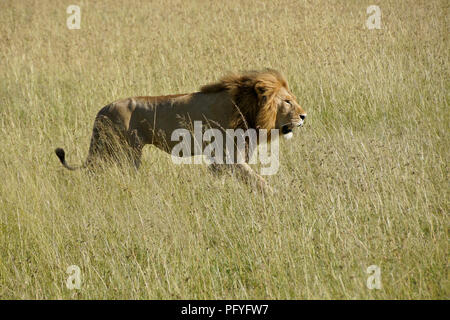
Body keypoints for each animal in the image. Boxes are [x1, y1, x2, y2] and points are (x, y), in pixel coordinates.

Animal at [55, 69, 306, 191]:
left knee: (93, 171)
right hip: (125, 152)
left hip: (109, 149)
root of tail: (104, 108)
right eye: (288, 102)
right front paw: (279, 197)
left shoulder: (221, 161)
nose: (304, 116)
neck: (247, 108)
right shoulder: (229, 158)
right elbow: (259, 181)